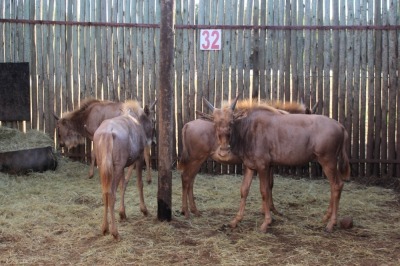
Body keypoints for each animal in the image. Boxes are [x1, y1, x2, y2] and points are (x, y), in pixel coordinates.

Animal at [94, 100, 155, 241]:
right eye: (153, 120)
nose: (152, 140)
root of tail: (107, 135)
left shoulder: (124, 165)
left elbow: (123, 185)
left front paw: (122, 213)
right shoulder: (138, 158)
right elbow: (139, 184)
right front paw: (144, 209)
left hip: (103, 166)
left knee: (104, 193)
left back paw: (104, 228)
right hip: (116, 166)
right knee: (111, 194)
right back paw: (115, 232)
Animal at [198, 96, 348, 233]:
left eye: (231, 122)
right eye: (215, 122)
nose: (224, 151)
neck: (248, 128)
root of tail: (340, 126)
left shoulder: (263, 166)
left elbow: (265, 190)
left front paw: (266, 222)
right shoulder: (250, 166)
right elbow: (244, 190)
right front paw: (236, 220)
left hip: (328, 161)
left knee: (336, 185)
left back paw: (331, 224)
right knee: (335, 185)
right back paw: (326, 218)